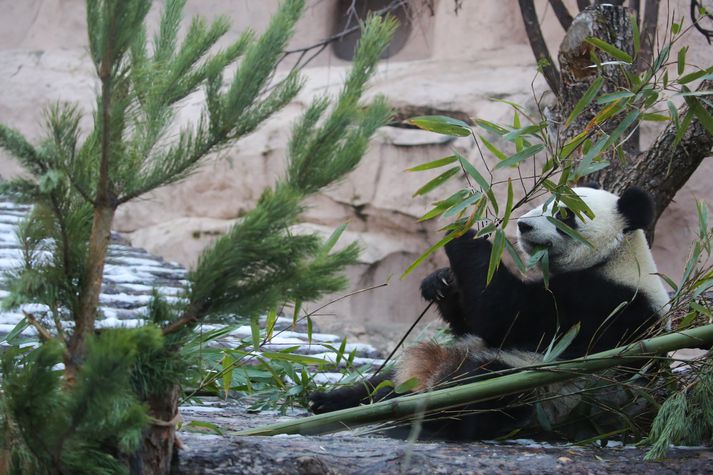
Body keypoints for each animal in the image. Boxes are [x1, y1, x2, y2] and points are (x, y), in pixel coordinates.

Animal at [308, 186, 672, 442]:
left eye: (564, 214)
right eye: (543, 202)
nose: (523, 225)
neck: (617, 256)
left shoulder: (605, 304)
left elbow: (508, 316)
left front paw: (464, 228)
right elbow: (474, 321)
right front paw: (439, 281)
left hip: (539, 387)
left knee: (477, 393)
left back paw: (411, 415)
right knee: (385, 378)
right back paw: (332, 401)